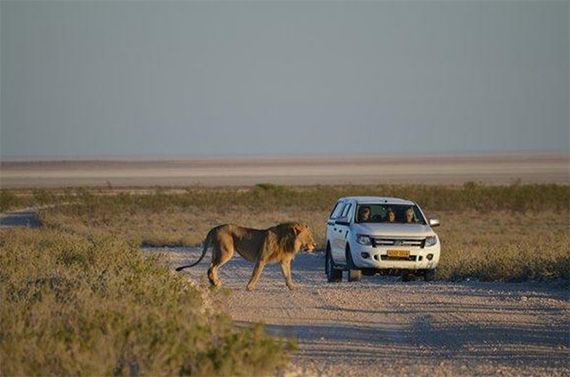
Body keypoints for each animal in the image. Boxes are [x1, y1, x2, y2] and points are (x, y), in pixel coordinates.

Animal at [174, 222, 316, 290]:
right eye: (309, 237)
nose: (314, 245)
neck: (289, 240)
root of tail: (214, 228)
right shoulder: (261, 258)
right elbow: (256, 274)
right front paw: (250, 287)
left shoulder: (284, 261)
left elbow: (288, 275)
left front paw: (292, 287)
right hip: (226, 252)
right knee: (212, 268)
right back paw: (215, 283)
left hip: (217, 252)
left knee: (211, 267)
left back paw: (214, 282)